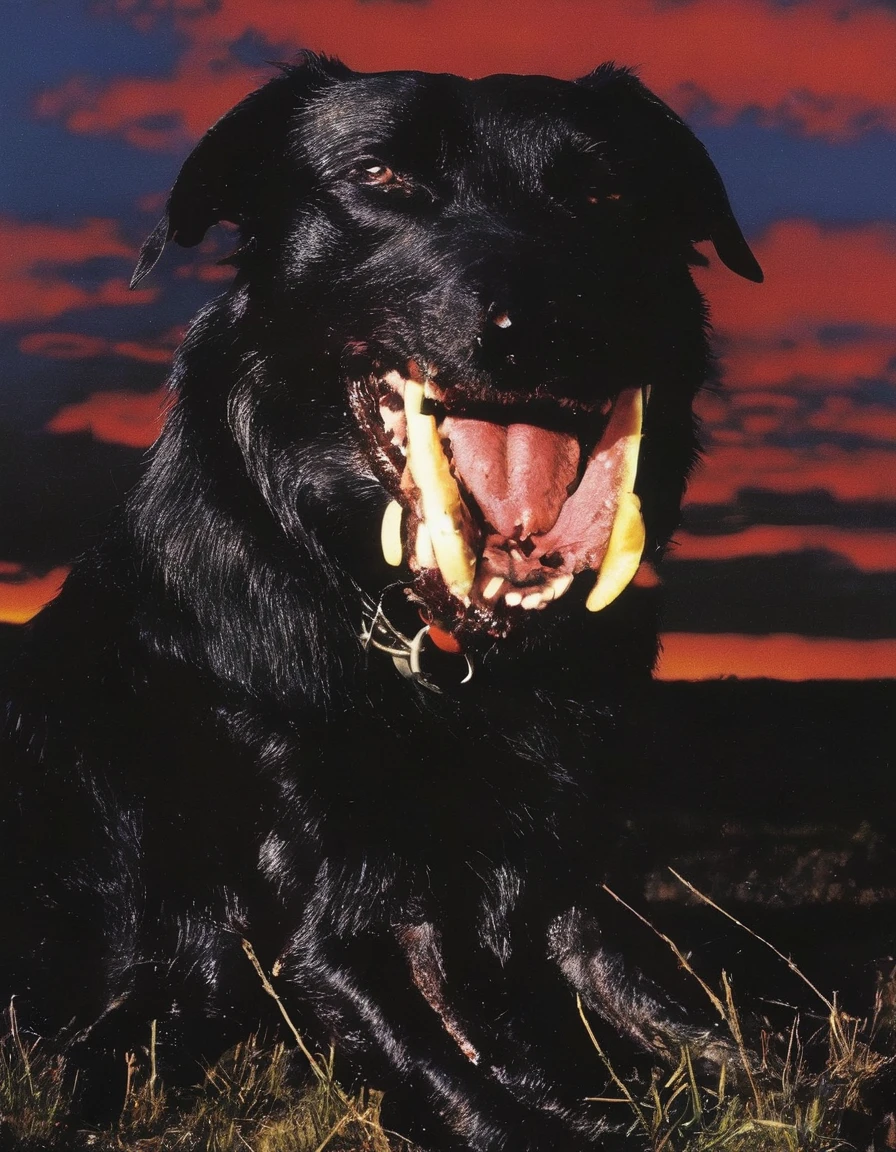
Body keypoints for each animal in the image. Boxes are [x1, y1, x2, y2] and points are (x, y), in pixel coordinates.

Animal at [0, 54, 755, 1152]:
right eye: (380, 174)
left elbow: (731, 1044)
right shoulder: (327, 933)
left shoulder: (563, 892)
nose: (549, 324)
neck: (439, 653)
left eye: (606, 192)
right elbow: (480, 1098)